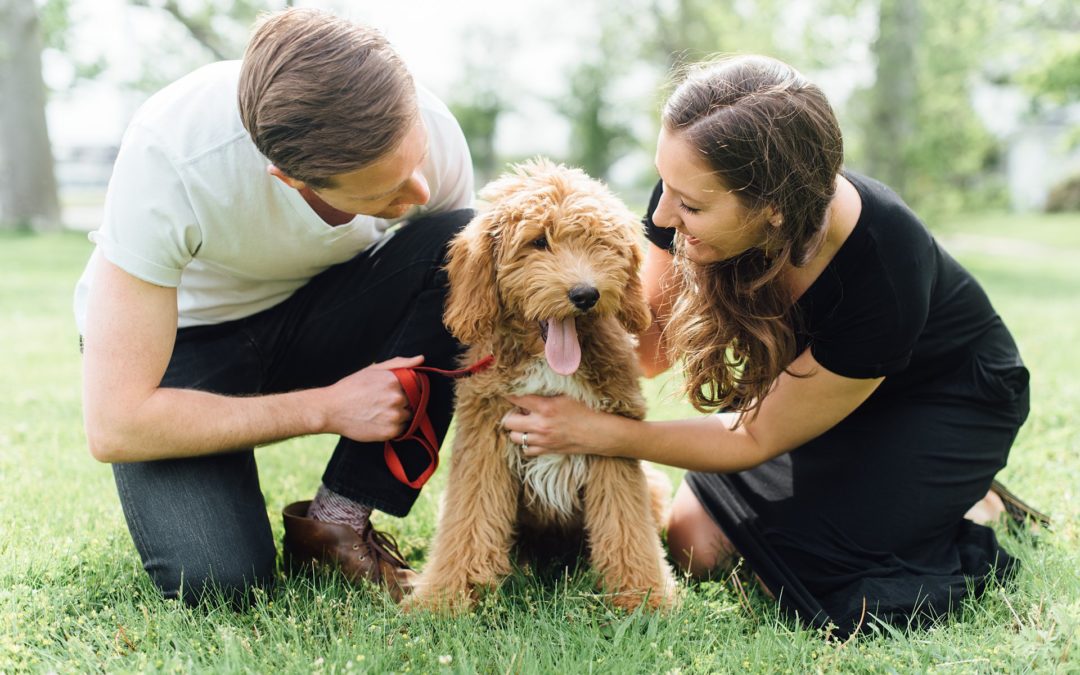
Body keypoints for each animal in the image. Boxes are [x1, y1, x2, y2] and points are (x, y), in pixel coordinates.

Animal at [408, 156, 678, 609]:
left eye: (597, 241)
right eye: (537, 242)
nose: (585, 294)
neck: (550, 367)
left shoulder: (613, 441)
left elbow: (626, 527)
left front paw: (644, 597)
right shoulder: (484, 441)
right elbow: (468, 522)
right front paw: (445, 597)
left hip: (654, 486)